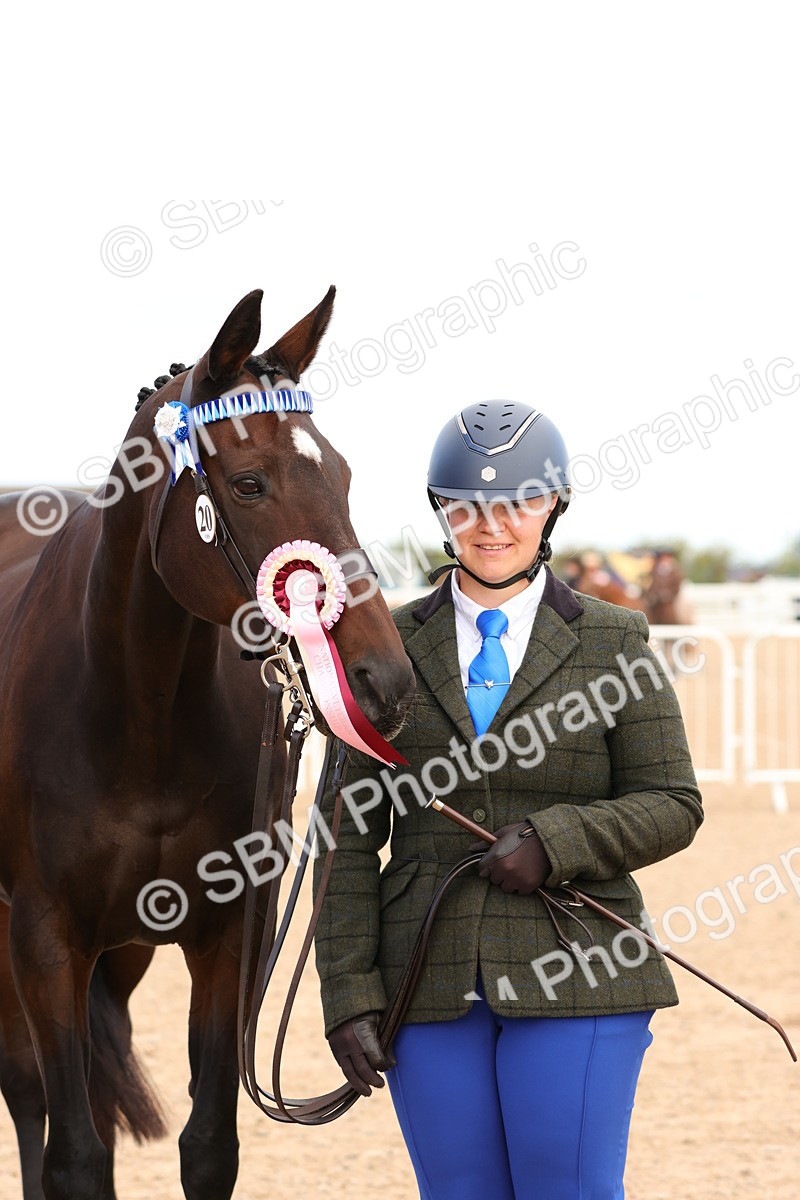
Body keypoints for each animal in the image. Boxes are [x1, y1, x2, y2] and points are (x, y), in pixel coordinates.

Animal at [0, 286, 416, 1200]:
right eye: (250, 483)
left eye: (342, 475)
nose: (384, 679)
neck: (138, 711)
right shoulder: (44, 939)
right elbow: (72, 1155)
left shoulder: (228, 936)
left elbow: (209, 1144)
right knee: (28, 1093)